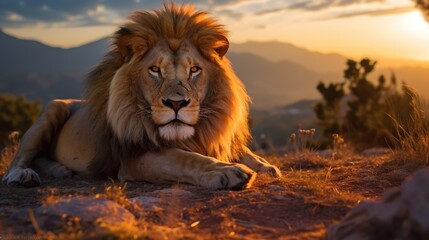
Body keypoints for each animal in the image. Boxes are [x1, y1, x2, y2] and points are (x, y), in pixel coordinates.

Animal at [2, 3, 280, 189]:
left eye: (194, 70)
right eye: (155, 70)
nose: (176, 103)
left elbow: (244, 151)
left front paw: (266, 165)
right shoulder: (135, 156)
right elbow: (184, 158)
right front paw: (229, 171)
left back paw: (60, 169)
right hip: (53, 109)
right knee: (21, 158)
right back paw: (24, 175)